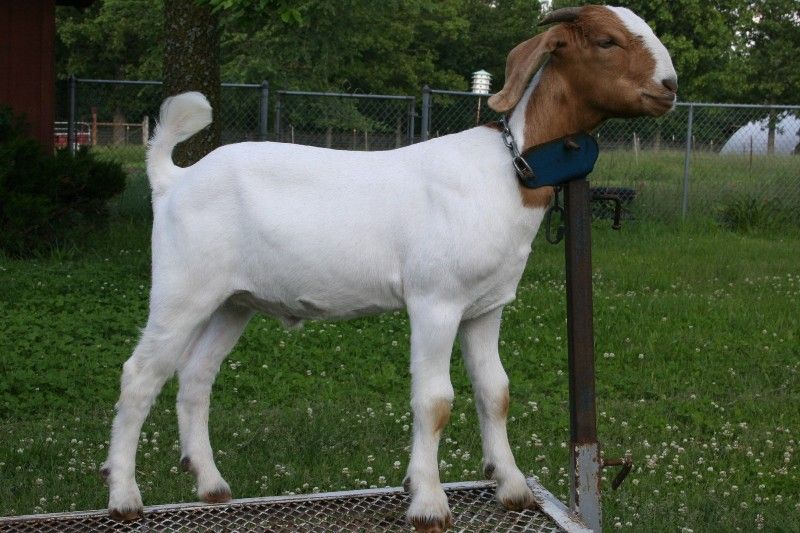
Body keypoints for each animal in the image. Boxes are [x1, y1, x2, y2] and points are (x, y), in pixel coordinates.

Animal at [102, 5, 676, 532]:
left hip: (232, 301)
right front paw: (428, 503)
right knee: (140, 374)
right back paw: (125, 497)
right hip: (183, 287)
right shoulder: (435, 301)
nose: (669, 87)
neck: (507, 172)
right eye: (605, 40)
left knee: (196, 375)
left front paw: (511, 486)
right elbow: (436, 400)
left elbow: (496, 392)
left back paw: (211, 484)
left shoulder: (485, 306)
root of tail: (173, 179)